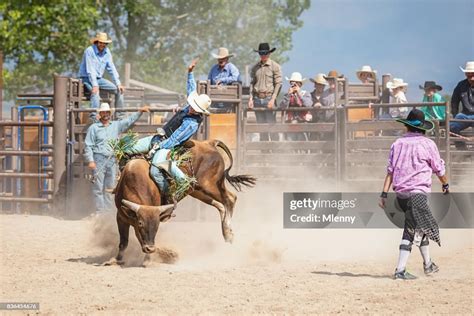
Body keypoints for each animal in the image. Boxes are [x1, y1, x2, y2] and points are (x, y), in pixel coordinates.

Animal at [108, 139, 256, 266]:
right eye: (140, 223)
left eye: (157, 225)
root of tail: (209, 143)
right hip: (197, 190)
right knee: (221, 205)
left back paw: (228, 233)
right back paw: (227, 233)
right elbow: (123, 242)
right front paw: (115, 260)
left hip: (210, 185)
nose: (150, 248)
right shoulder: (120, 217)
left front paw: (147, 260)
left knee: (230, 198)